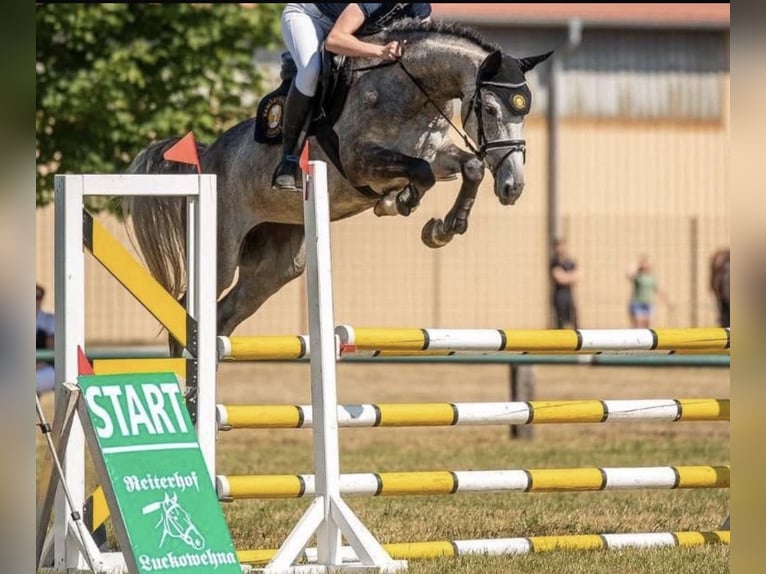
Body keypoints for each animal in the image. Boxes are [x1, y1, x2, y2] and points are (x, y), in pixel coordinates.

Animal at [123, 20, 552, 341]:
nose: (513, 187)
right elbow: (420, 172)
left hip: (276, 265)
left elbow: (470, 167)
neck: (411, 91)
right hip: (220, 253)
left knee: (224, 316)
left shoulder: (439, 154)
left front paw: (442, 229)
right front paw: (399, 201)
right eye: (491, 109)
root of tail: (207, 156)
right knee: (187, 307)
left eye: (525, 112)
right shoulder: (359, 162)